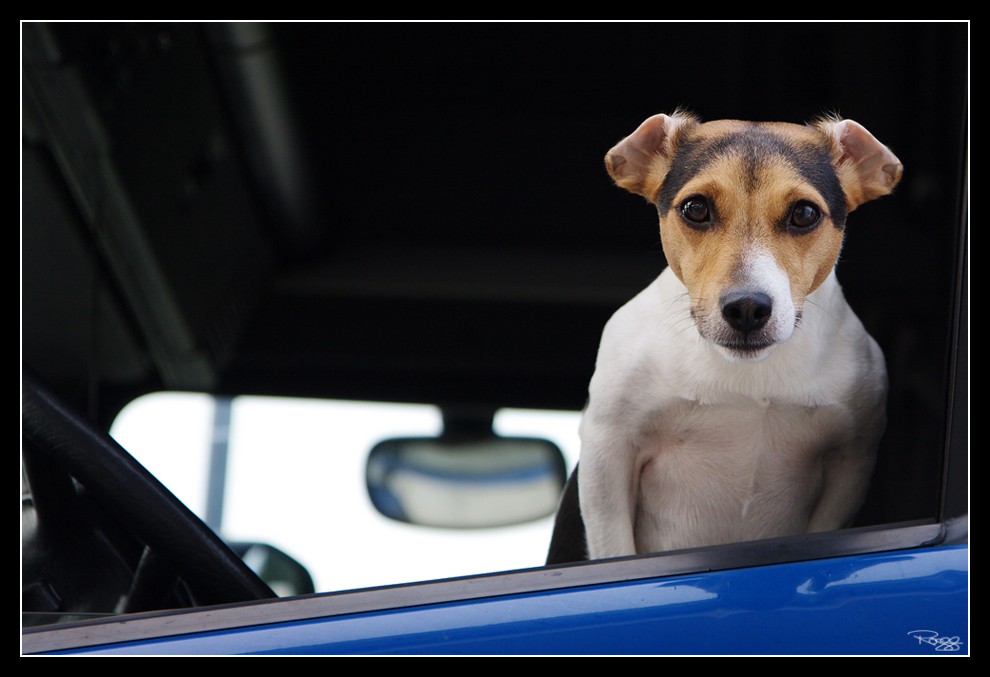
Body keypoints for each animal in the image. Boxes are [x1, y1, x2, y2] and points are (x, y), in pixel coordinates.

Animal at [564, 112, 900, 560]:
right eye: (696, 208)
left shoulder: (850, 461)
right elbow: (614, 546)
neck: (746, 376)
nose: (746, 308)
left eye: (804, 213)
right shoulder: (608, 451)